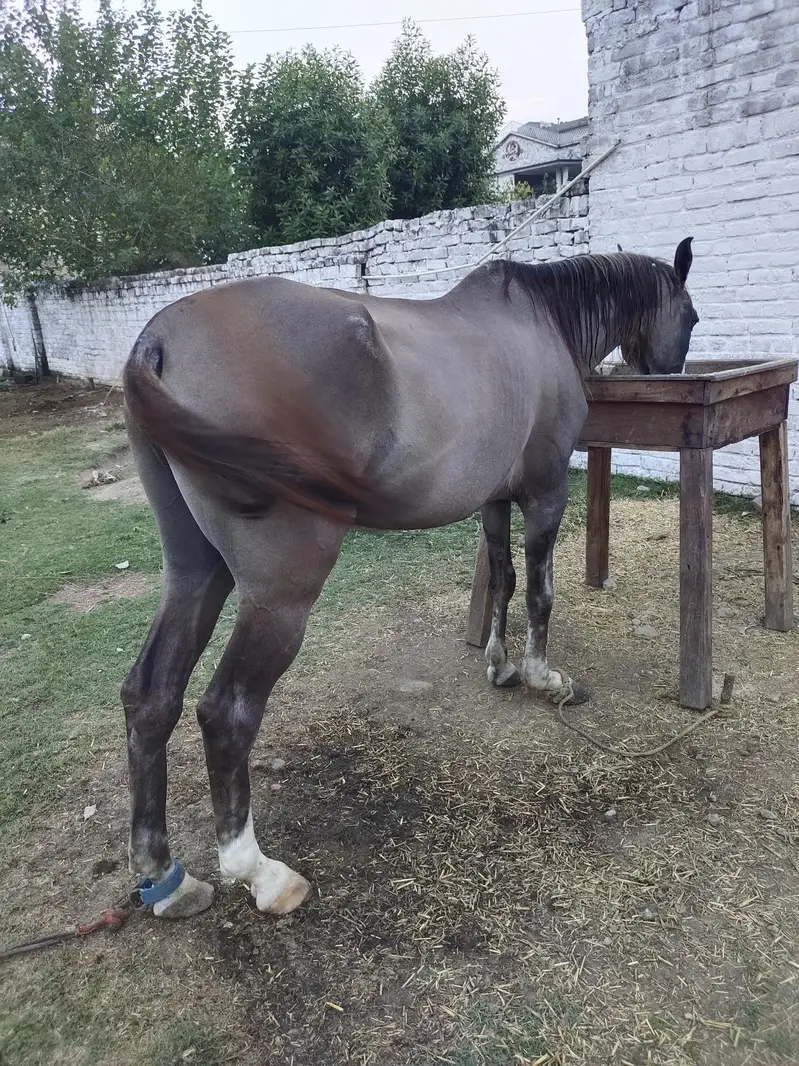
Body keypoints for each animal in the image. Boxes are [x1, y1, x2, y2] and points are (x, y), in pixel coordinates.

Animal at [121, 240, 698, 919]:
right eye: (691, 317)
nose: (671, 373)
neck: (540, 322)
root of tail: (158, 338)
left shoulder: (493, 500)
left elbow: (502, 577)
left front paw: (500, 665)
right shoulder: (546, 493)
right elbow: (539, 589)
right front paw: (543, 676)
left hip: (194, 573)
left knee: (151, 695)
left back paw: (165, 876)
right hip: (278, 597)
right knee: (226, 713)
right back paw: (261, 874)